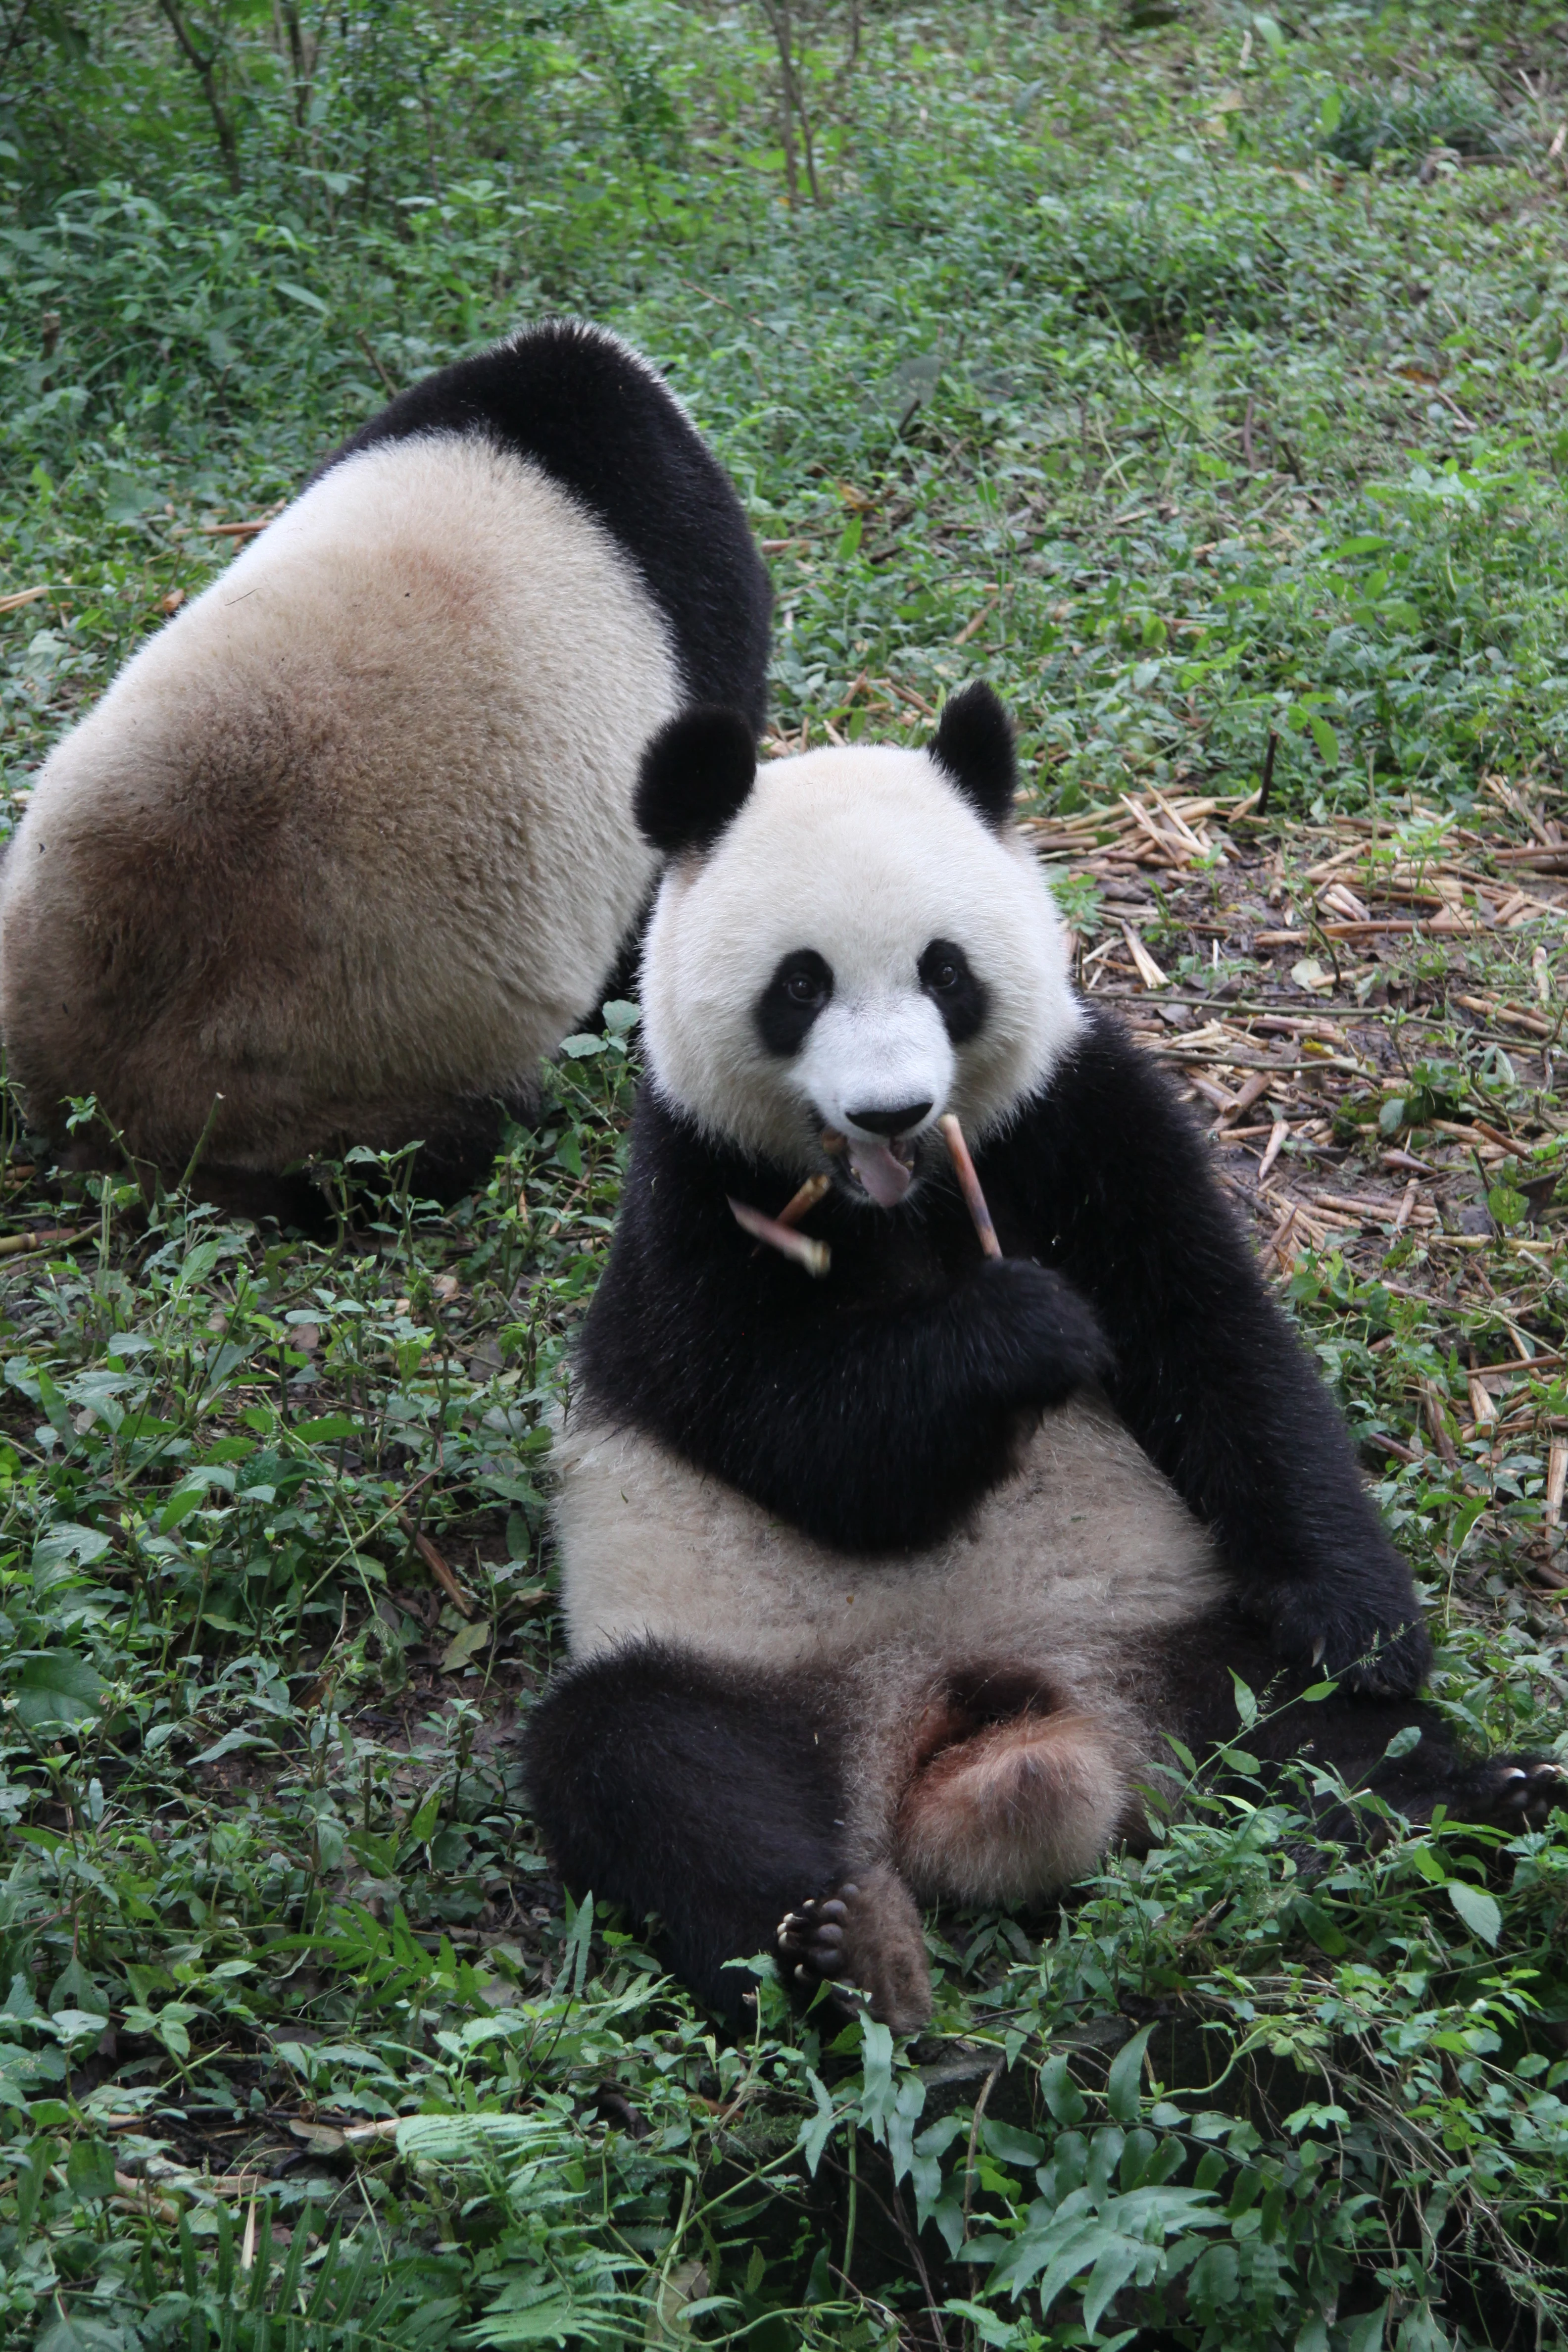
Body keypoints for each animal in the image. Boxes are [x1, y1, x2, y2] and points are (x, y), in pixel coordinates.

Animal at [523, 685, 1562, 2035]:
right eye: (799, 984)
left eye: (944, 969)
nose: (893, 1109)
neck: (902, 1202)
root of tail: (985, 1719)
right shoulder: (690, 1192)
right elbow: (796, 1434)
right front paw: (1024, 1331)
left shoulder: (1075, 1116)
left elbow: (1220, 1346)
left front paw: (1361, 1622)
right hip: (743, 1666)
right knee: (645, 1763)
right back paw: (839, 1949)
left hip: (1176, 1637)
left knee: (1325, 1747)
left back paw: (1498, 1800)